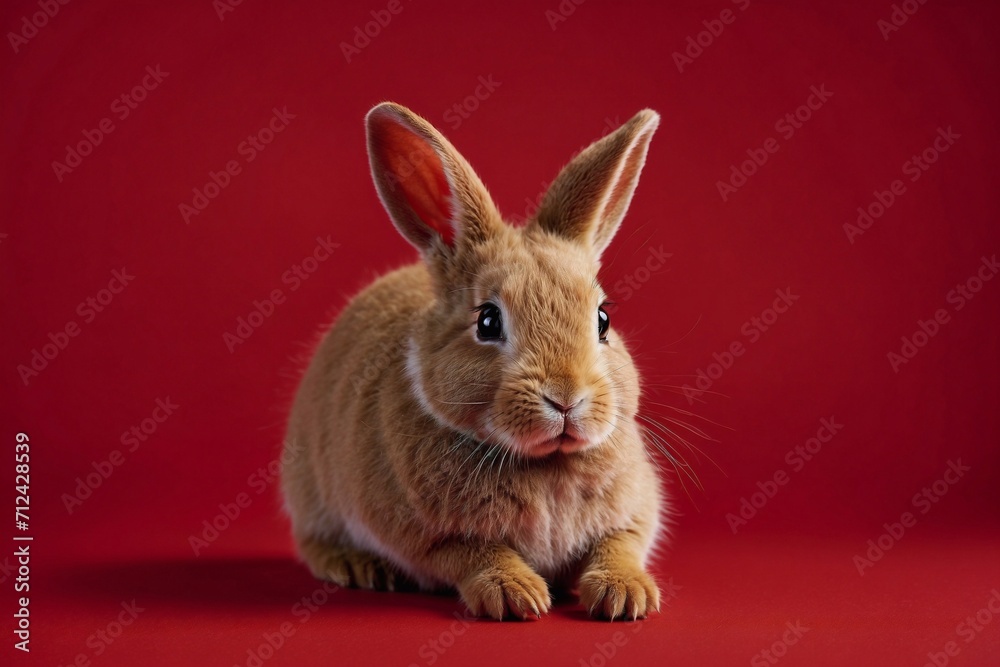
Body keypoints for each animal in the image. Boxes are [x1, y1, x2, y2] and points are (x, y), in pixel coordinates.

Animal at [281, 101, 667, 621]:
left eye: (603, 319)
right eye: (487, 321)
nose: (566, 396)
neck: (545, 463)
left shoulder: (633, 516)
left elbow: (619, 545)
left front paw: (628, 596)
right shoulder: (428, 538)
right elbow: (473, 553)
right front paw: (517, 595)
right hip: (312, 495)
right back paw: (358, 566)